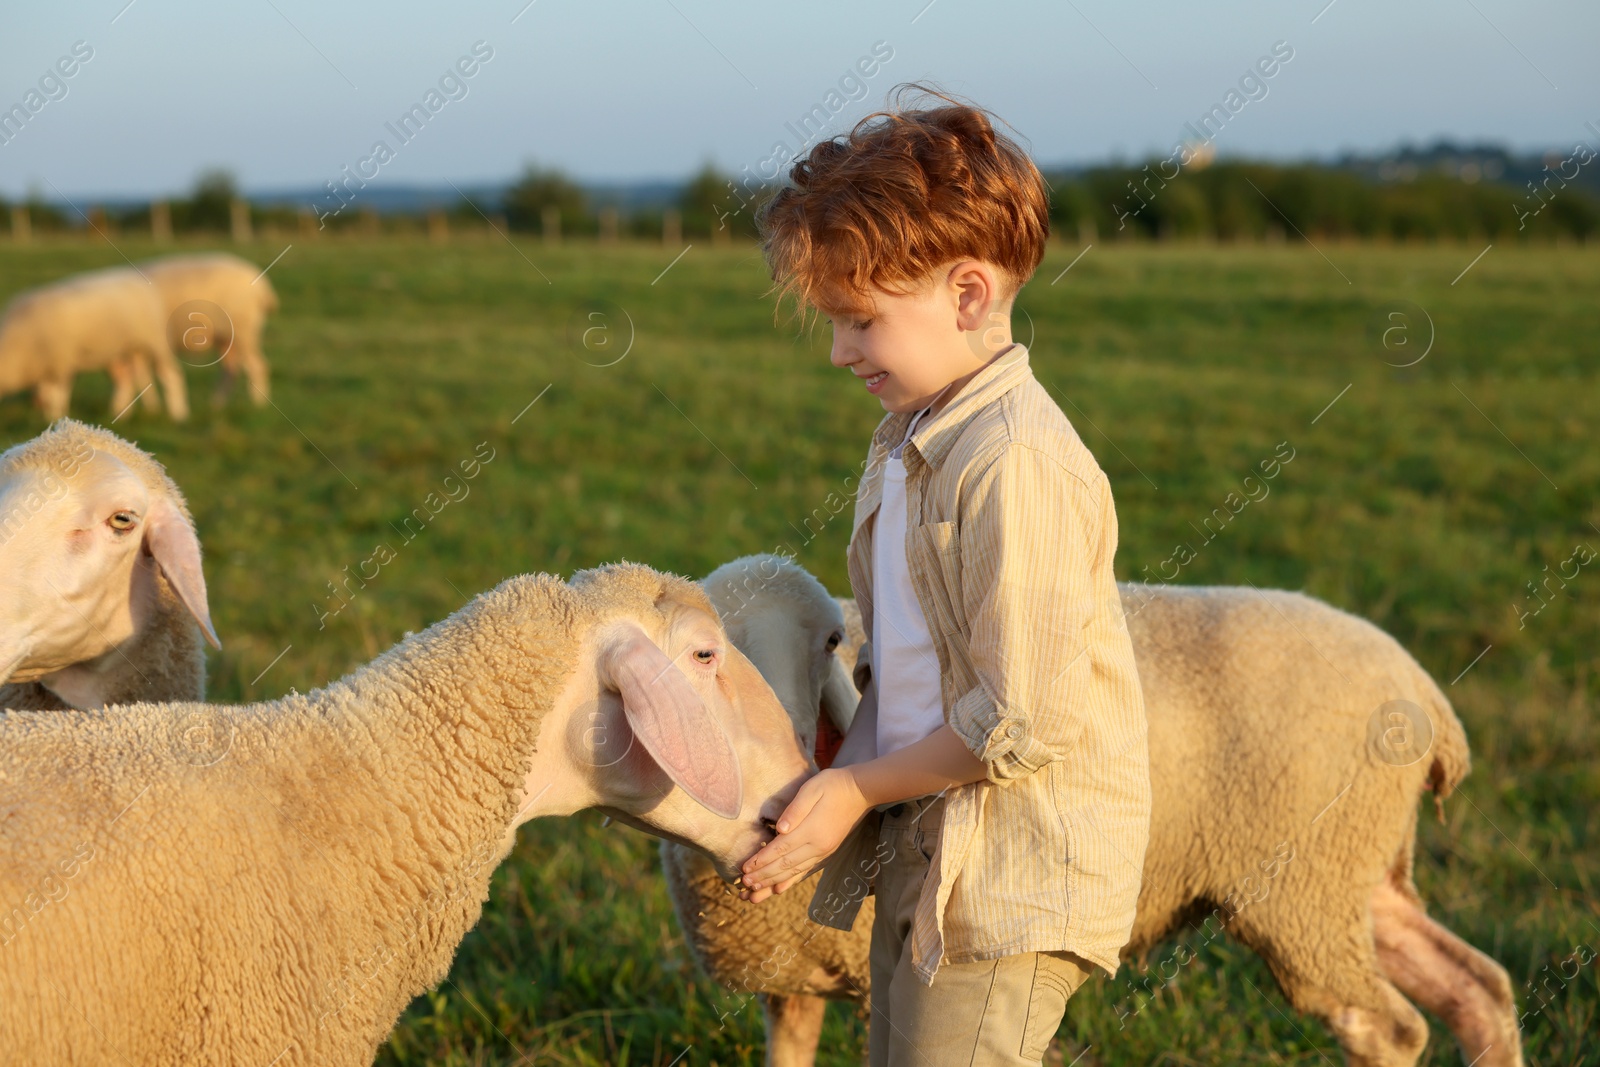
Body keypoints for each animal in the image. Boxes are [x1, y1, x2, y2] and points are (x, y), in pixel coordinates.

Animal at [0, 267, 190, 422]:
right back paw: (119, 412)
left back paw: (178, 413)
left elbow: (57, 395)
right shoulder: (49, 365)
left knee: (170, 375)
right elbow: (47, 395)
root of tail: (137, 279)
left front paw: (56, 417)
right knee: (125, 379)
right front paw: (50, 418)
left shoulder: (61, 363)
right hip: (124, 350)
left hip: (155, 342)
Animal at [675, 556, 1523, 1067]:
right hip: (1355, 878)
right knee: (1475, 985)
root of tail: (1429, 699)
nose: (784, 751)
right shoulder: (788, 980)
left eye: (824, 642)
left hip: (1302, 888)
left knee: (1388, 1026)